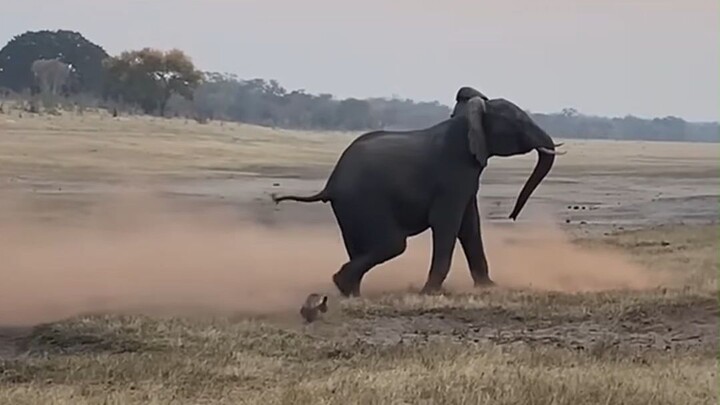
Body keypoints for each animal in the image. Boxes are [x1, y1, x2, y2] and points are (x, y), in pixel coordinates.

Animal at [271, 87, 565, 297]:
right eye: (518, 121)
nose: (512, 216)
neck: (469, 119)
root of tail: (330, 183)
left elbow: (470, 225)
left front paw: (489, 288)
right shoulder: (452, 175)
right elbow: (448, 224)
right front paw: (431, 293)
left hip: (348, 209)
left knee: (362, 246)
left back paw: (350, 293)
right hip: (364, 202)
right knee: (393, 244)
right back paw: (342, 285)